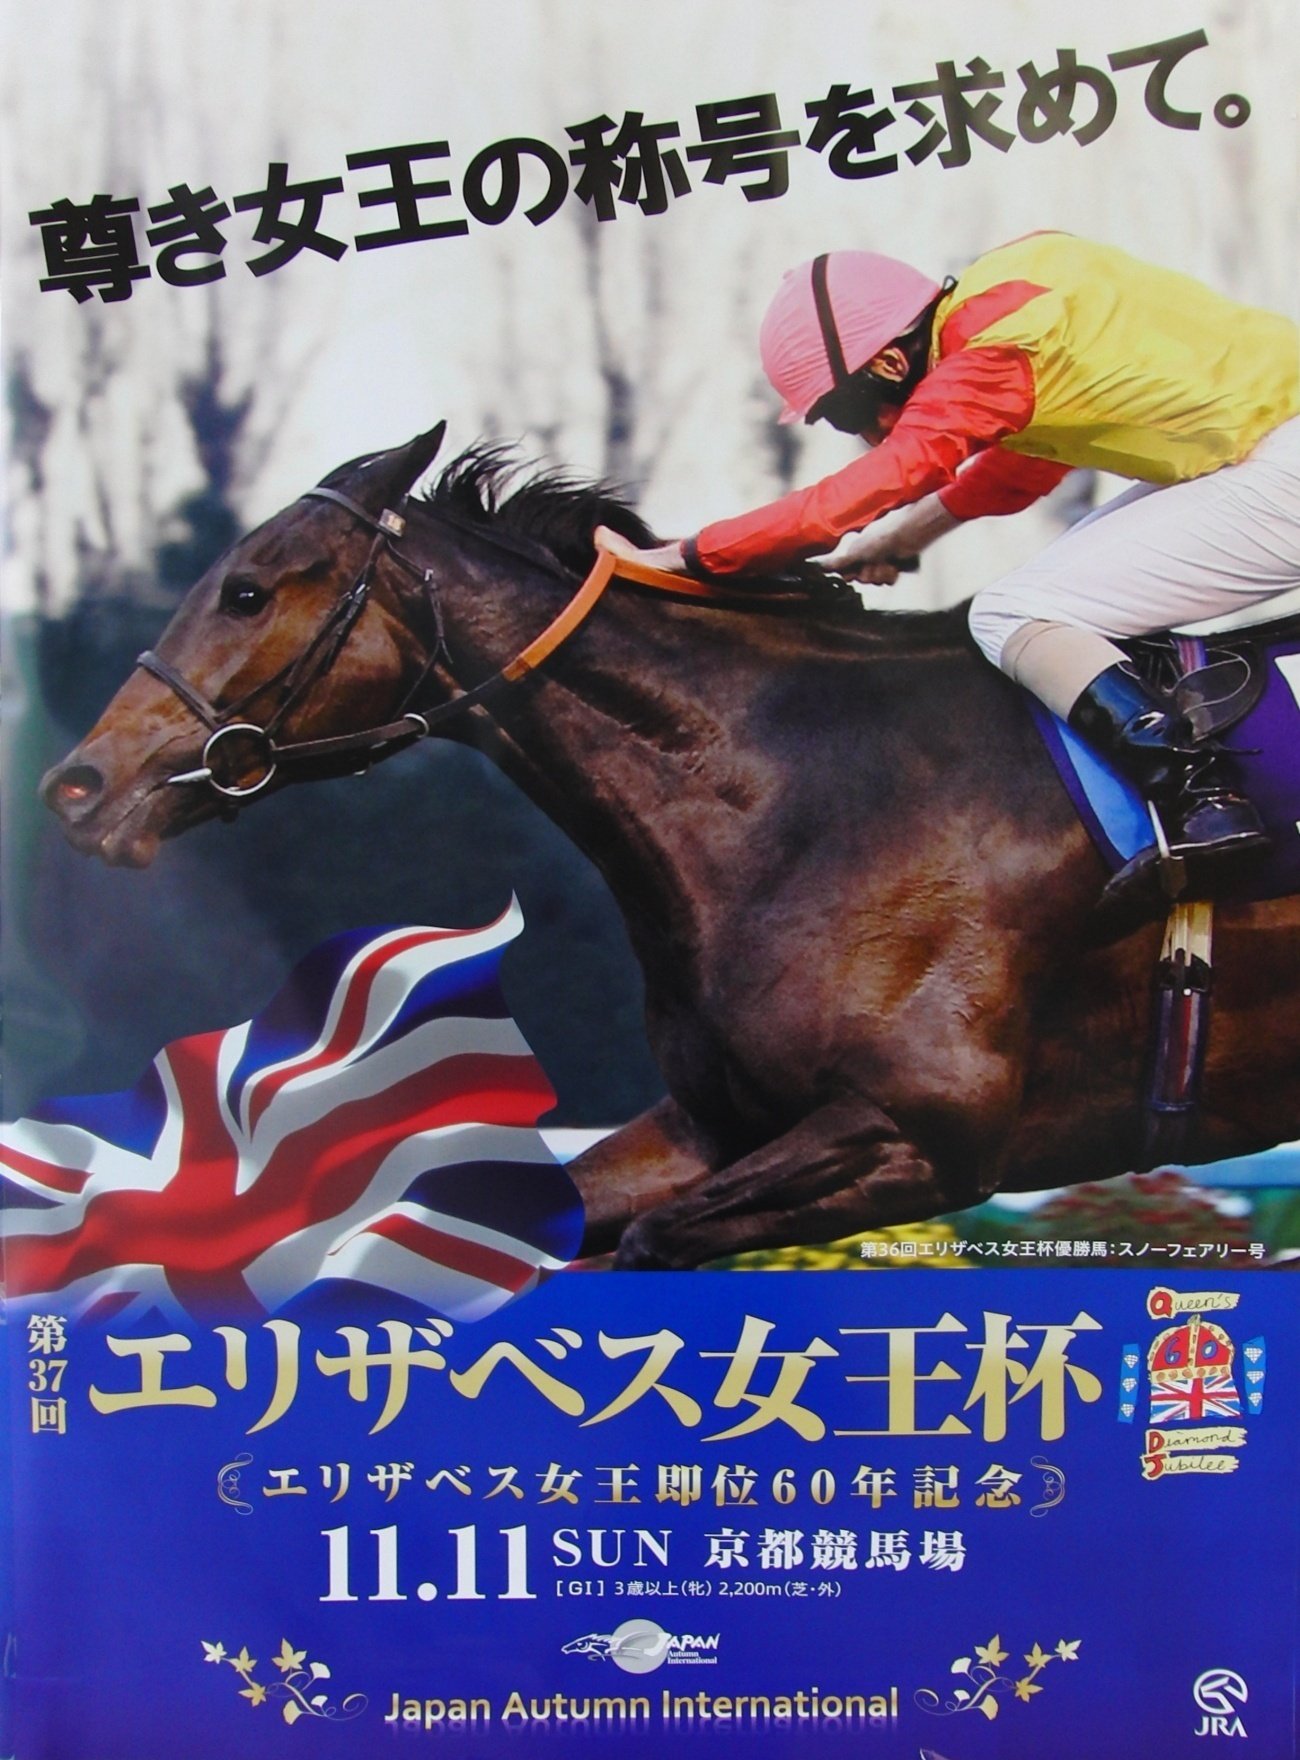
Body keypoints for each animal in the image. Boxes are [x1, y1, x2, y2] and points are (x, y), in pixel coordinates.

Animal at [40, 424, 1300, 1267]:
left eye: (249, 591)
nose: (77, 784)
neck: (795, 787)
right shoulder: (713, 1119)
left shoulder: (920, 1132)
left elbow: (646, 1242)